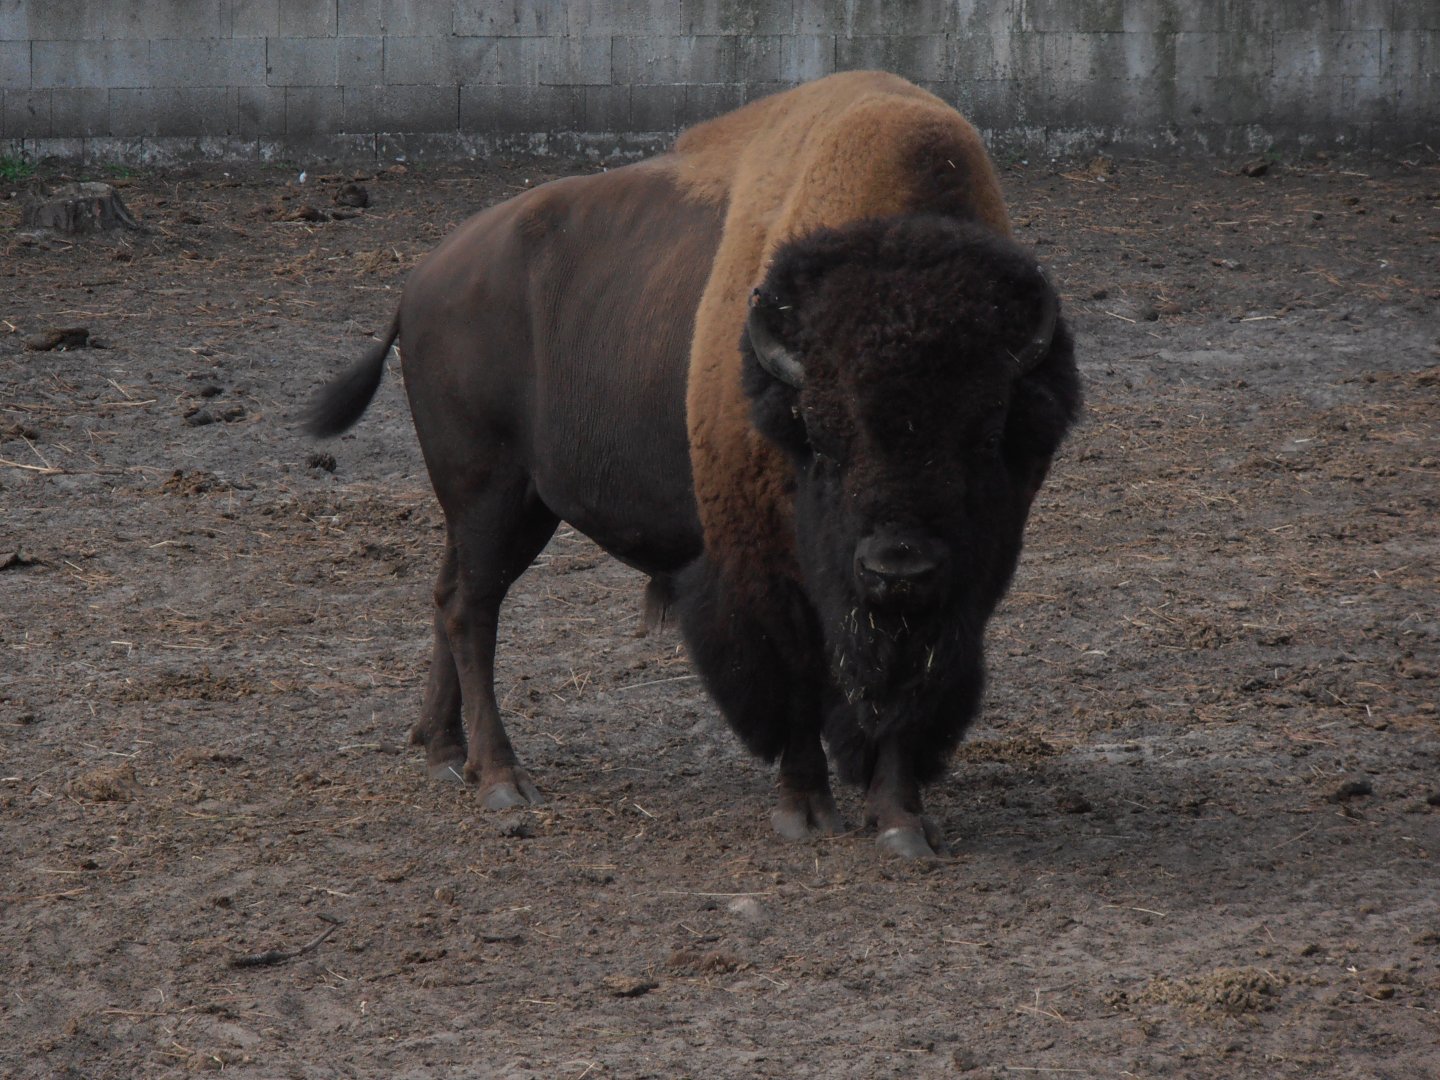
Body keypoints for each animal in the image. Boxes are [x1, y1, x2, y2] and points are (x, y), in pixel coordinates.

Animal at [306, 71, 1081, 857]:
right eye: (822, 438)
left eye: (985, 436)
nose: (898, 567)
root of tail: (421, 282)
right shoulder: (765, 569)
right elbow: (793, 676)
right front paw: (805, 811)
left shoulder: (959, 587)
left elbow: (905, 694)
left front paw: (901, 823)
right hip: (491, 495)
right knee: (473, 611)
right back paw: (501, 778)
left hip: (500, 509)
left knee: (446, 597)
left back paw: (442, 753)